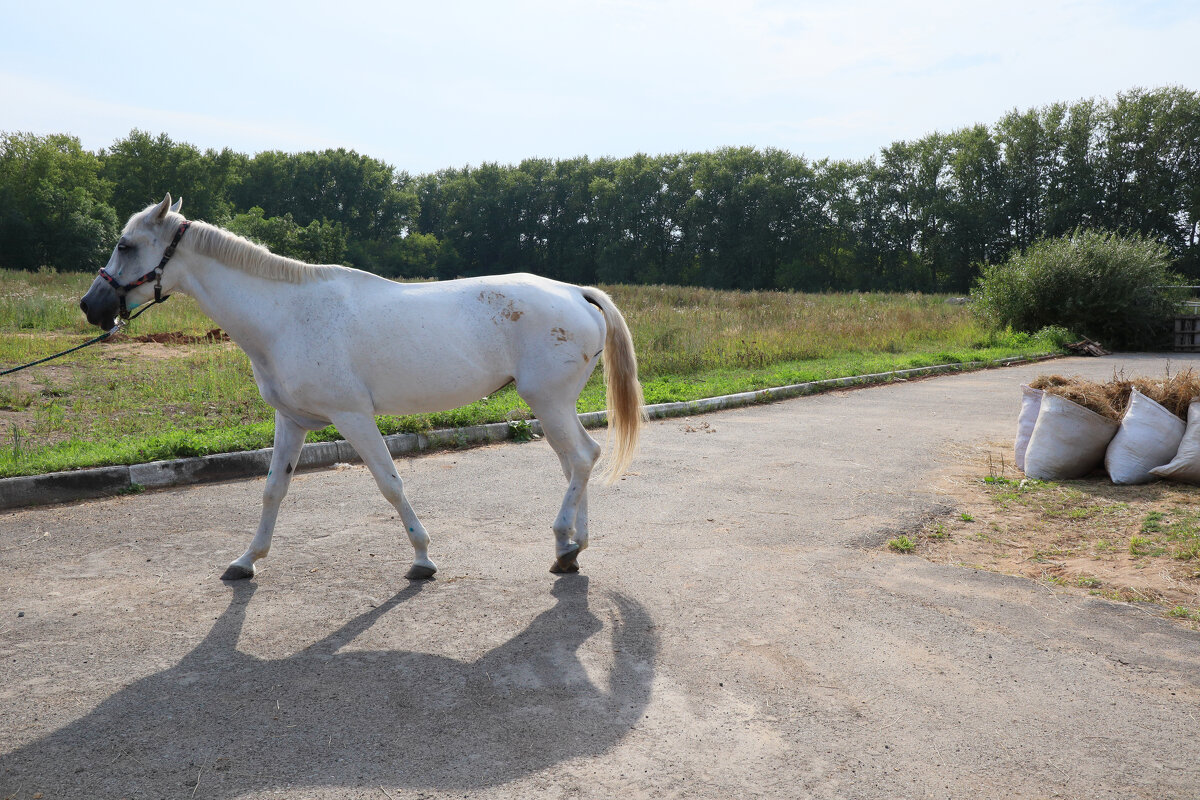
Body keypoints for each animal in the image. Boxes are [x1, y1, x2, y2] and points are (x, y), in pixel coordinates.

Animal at [78, 194, 643, 582]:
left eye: (126, 245)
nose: (90, 305)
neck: (287, 317)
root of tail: (575, 292)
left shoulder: (352, 418)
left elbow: (390, 484)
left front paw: (422, 558)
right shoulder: (292, 420)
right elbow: (273, 489)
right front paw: (247, 560)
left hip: (547, 402)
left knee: (582, 459)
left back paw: (565, 545)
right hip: (554, 405)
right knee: (579, 461)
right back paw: (572, 549)